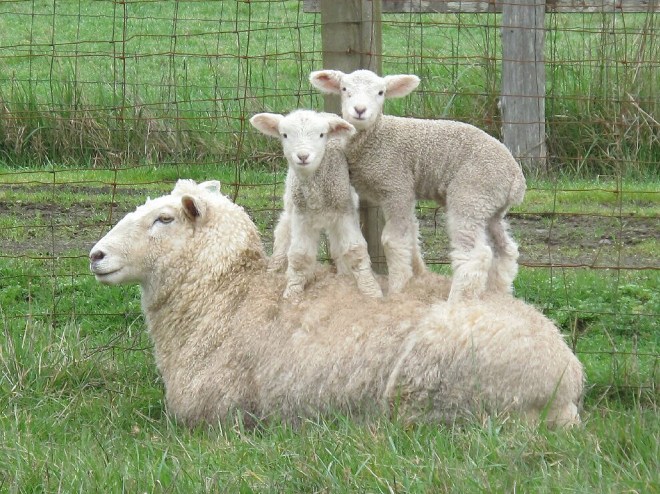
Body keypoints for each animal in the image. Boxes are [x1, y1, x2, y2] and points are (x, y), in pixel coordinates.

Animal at [89, 179, 584, 429]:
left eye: (164, 219)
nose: (96, 255)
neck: (227, 295)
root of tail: (568, 378)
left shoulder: (215, 413)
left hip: (433, 388)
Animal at [250, 110, 382, 299]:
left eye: (321, 135)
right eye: (284, 135)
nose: (303, 156)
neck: (316, 193)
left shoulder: (345, 211)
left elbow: (354, 250)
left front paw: (371, 291)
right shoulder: (301, 215)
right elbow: (300, 255)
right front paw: (292, 293)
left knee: (337, 246)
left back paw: (344, 275)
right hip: (291, 204)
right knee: (283, 233)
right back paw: (274, 270)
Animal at [309, 69, 527, 302]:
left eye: (381, 92)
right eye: (344, 89)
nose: (360, 110)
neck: (376, 137)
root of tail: (516, 178)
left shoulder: (396, 186)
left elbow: (393, 241)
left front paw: (396, 290)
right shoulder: (406, 192)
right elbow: (411, 235)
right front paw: (416, 276)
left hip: (472, 194)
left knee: (475, 254)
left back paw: (456, 301)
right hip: (491, 206)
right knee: (506, 250)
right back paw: (500, 294)